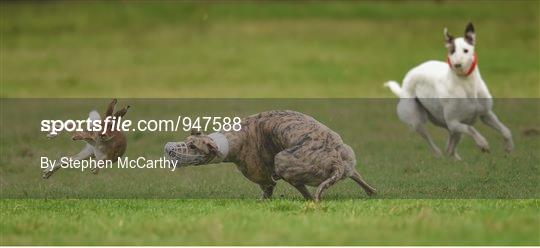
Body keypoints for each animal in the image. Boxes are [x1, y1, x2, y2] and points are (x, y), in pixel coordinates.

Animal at [384, 22, 516, 159]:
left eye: (466, 50)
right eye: (452, 51)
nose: (457, 64)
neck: (466, 84)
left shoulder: (486, 114)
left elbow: (505, 130)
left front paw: (509, 147)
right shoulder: (453, 122)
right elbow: (471, 129)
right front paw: (483, 143)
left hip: (451, 128)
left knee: (450, 148)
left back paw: (455, 158)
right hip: (417, 121)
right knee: (431, 141)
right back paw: (439, 154)